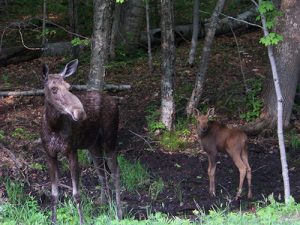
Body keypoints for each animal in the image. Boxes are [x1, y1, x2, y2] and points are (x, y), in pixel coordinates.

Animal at [40, 59, 122, 224]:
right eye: (53, 89)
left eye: (69, 87)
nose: (80, 112)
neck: (53, 127)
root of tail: (114, 101)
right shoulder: (50, 154)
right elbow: (54, 195)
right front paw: (53, 220)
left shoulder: (72, 151)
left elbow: (76, 194)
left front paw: (82, 220)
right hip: (93, 145)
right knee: (102, 172)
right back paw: (104, 205)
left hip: (110, 139)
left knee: (115, 172)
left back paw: (118, 213)